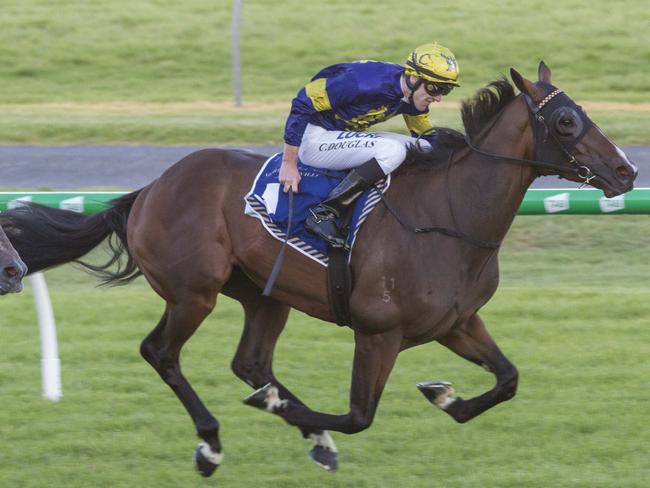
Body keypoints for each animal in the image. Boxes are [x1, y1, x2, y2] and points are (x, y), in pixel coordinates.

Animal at [2, 63, 636, 474]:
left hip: (264, 294)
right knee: (162, 353)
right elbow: (358, 415)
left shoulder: (456, 323)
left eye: (582, 113)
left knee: (250, 362)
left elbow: (507, 380)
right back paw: (212, 442)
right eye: (566, 123)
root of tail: (152, 188)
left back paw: (292, 422)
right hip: (193, 293)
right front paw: (297, 417)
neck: (449, 214)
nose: (627, 172)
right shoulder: (378, 332)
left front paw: (442, 395)